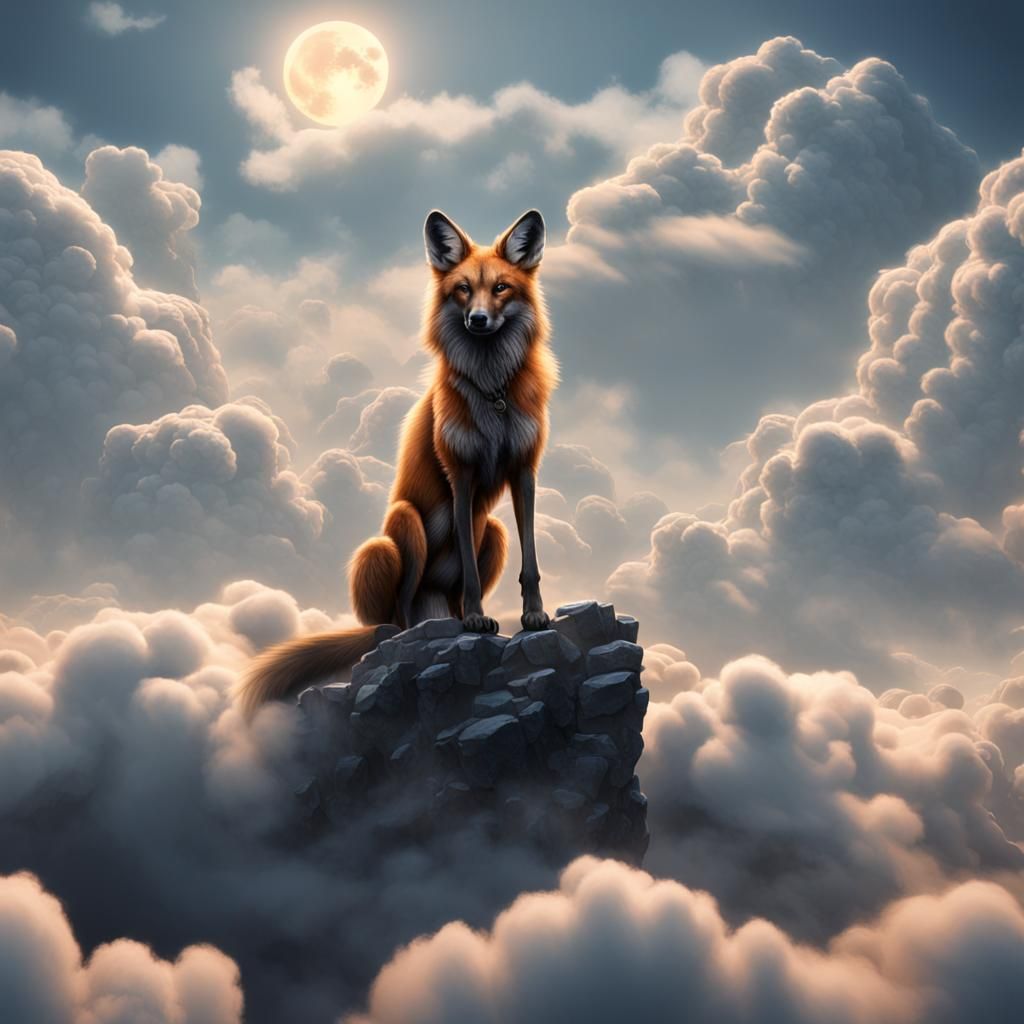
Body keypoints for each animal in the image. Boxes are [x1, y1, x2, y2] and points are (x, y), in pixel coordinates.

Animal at [237, 209, 558, 718]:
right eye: (462, 289)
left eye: (501, 288)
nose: (478, 319)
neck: (493, 393)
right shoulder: (461, 476)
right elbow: (468, 570)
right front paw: (475, 619)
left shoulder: (524, 472)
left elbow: (530, 561)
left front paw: (532, 615)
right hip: (398, 532)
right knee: (398, 616)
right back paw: (420, 631)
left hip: (494, 532)